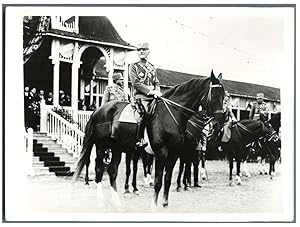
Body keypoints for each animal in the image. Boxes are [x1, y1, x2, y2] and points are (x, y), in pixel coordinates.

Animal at [71, 71, 224, 209]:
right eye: (215, 95)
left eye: (224, 96)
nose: (218, 124)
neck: (171, 114)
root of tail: (98, 110)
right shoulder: (161, 153)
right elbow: (158, 181)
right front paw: (154, 206)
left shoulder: (174, 154)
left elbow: (167, 179)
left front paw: (165, 204)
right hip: (102, 146)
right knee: (98, 170)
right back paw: (101, 202)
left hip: (117, 148)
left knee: (112, 171)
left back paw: (117, 203)